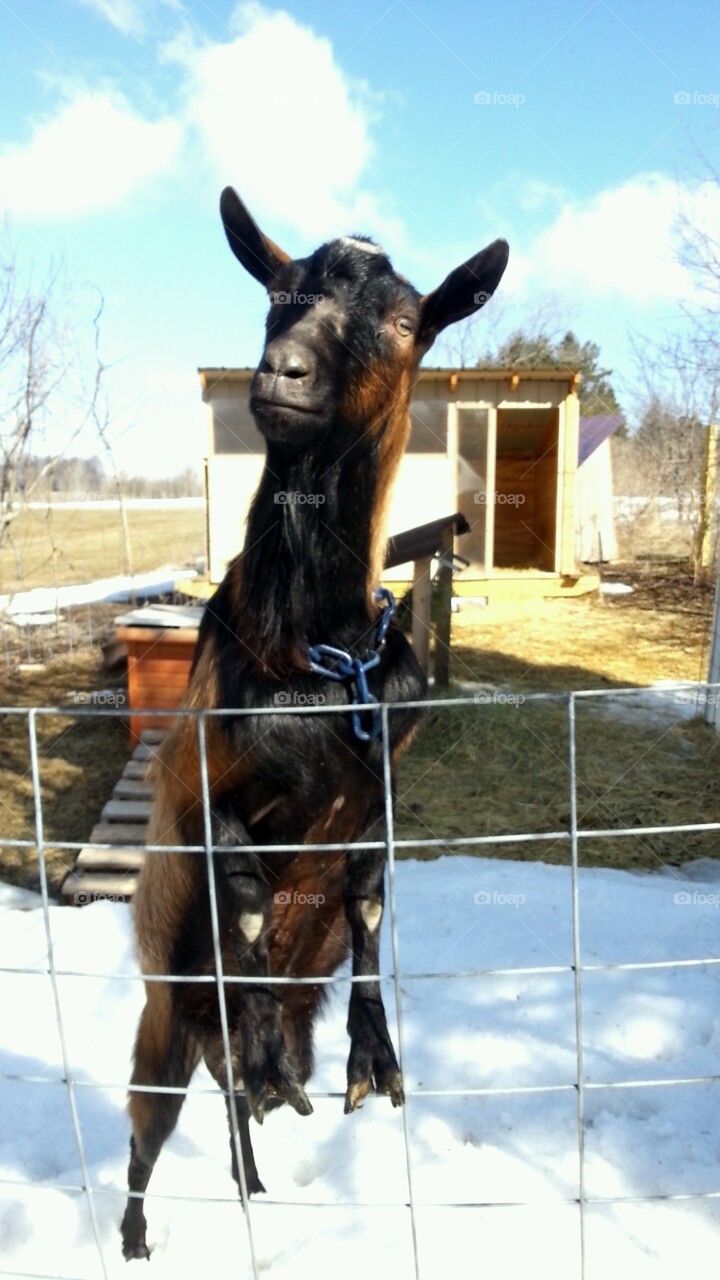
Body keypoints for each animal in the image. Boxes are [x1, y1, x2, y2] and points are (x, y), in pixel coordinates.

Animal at [120, 187, 508, 1259]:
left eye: (410, 322)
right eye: (273, 295)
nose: (281, 372)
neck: (316, 655)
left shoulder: (381, 788)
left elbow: (369, 899)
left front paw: (373, 1056)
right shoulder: (196, 784)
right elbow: (249, 893)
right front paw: (261, 1023)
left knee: (230, 1108)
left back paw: (258, 1148)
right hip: (160, 1025)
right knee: (146, 1132)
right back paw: (138, 1230)